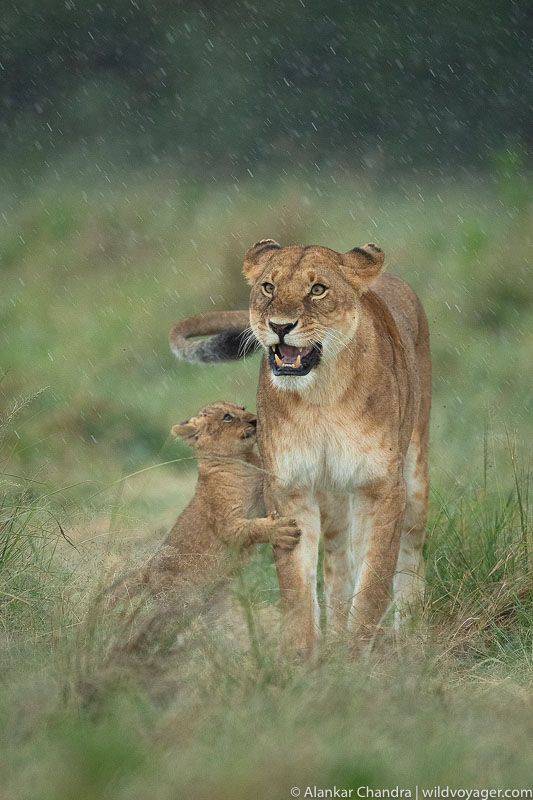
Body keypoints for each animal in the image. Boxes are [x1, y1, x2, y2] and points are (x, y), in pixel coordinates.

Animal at [169, 242, 431, 654]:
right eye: (268, 288)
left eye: (318, 290)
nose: (279, 327)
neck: (321, 394)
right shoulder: (289, 487)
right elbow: (297, 584)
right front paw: (304, 655)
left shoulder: (381, 487)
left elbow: (374, 579)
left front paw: (358, 653)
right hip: (332, 495)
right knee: (337, 562)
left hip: (415, 476)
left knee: (410, 550)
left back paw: (410, 635)